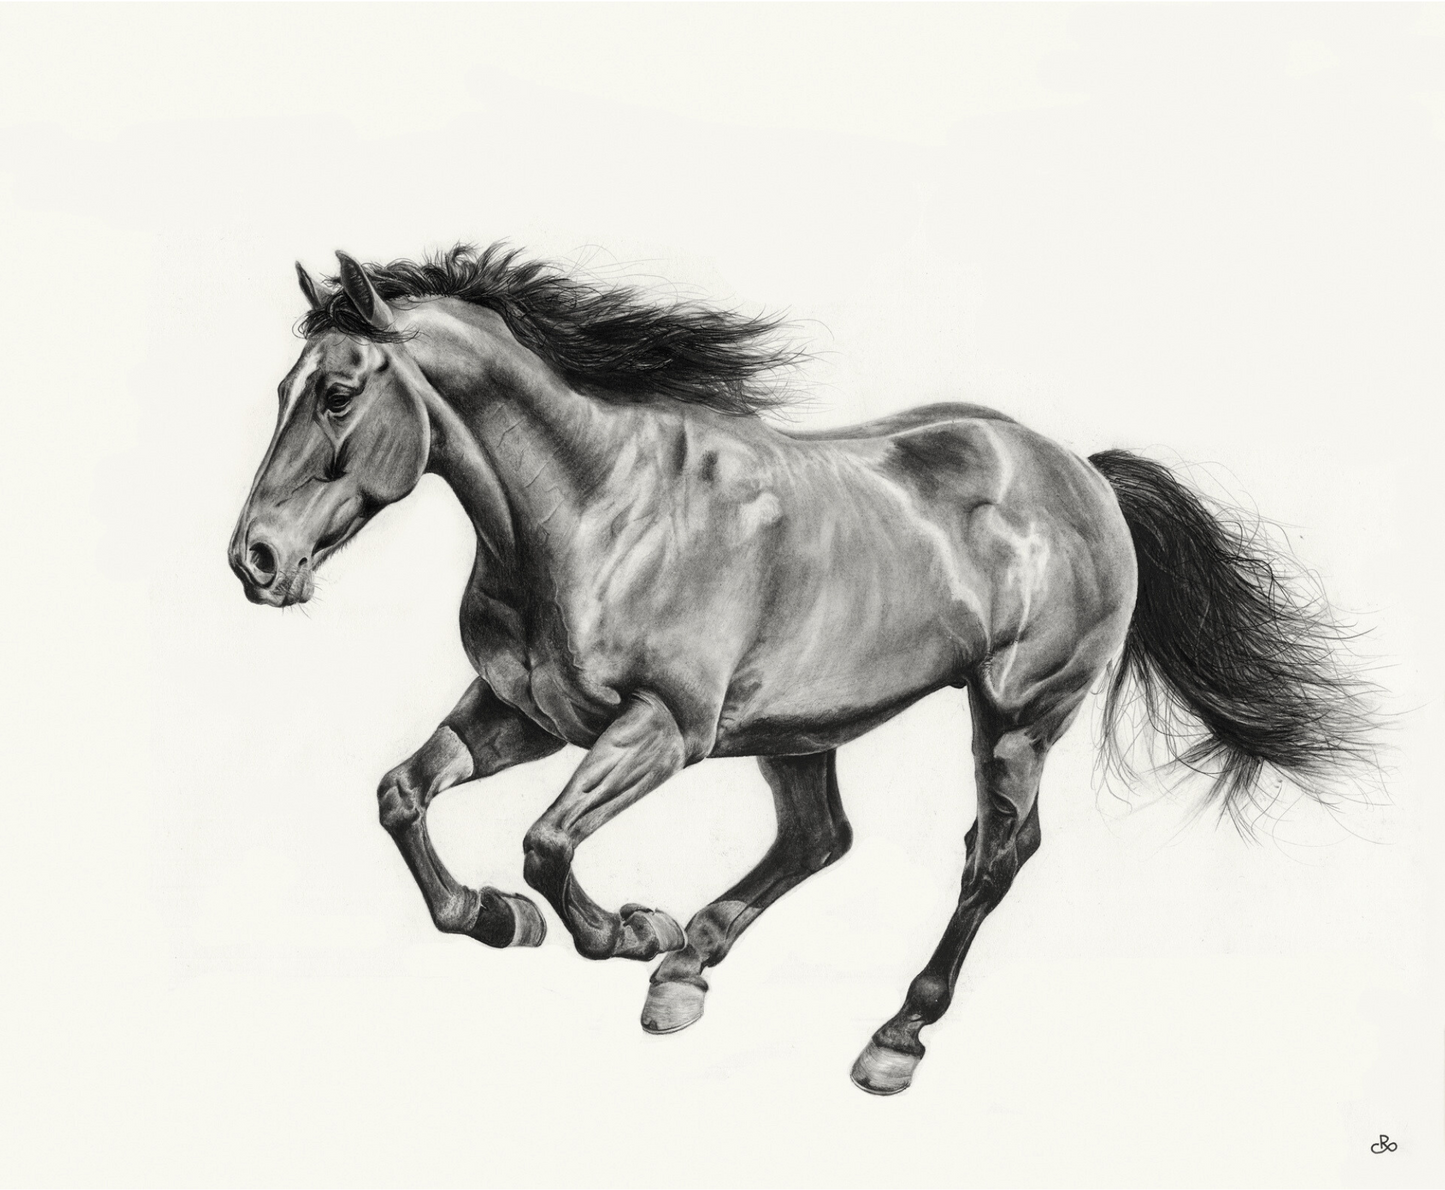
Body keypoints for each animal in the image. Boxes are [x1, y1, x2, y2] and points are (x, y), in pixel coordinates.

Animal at [228, 244, 1374, 1095]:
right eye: (282, 386)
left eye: (337, 394)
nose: (256, 560)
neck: (594, 509)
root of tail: (1078, 472)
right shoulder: (527, 714)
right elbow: (402, 793)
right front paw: (497, 917)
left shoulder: (661, 729)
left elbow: (547, 844)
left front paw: (624, 928)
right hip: (798, 728)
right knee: (820, 837)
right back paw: (689, 970)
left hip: (1015, 715)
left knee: (993, 855)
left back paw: (890, 1036)